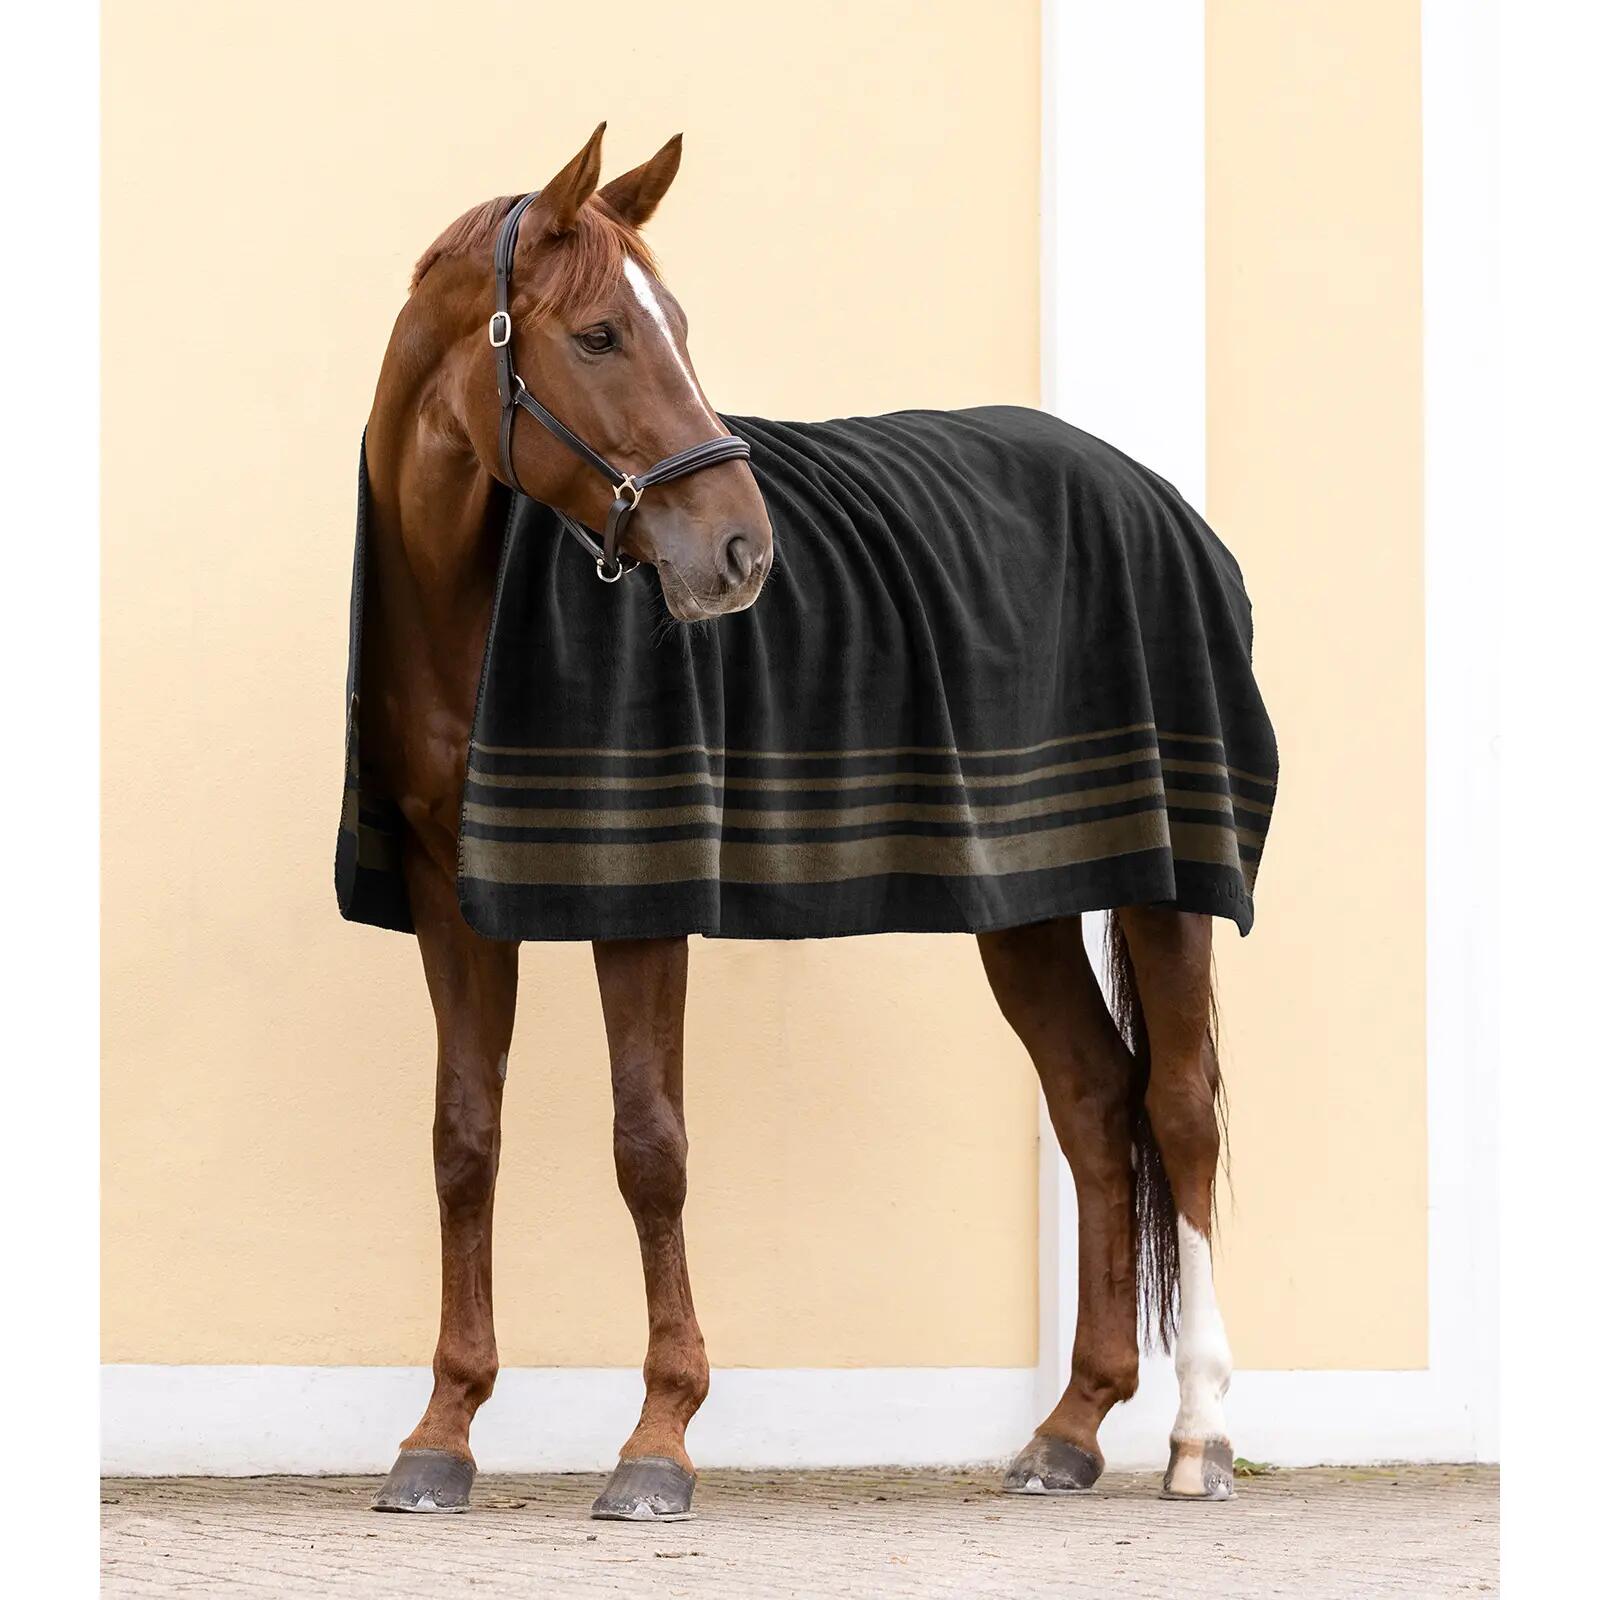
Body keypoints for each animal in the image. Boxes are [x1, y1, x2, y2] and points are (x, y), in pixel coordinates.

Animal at [347, 123, 1266, 1521]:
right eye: (601, 334)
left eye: (678, 324)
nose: (741, 554)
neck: (462, 612)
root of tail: (1158, 500)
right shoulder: (452, 893)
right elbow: (463, 1140)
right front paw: (440, 1435)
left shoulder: (638, 891)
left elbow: (649, 1145)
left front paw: (658, 1441)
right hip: (1028, 902)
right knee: (1091, 1099)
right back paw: (1066, 1430)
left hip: (1168, 885)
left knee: (1178, 1111)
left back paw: (1198, 1437)